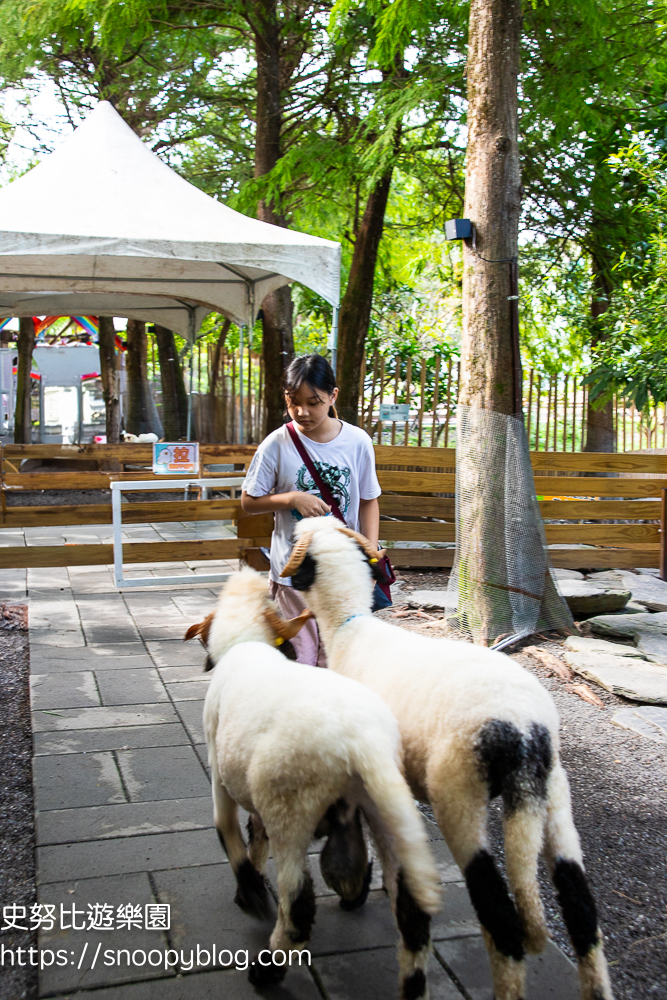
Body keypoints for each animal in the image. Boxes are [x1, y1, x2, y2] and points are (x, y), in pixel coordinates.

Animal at [185, 568, 440, 996]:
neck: (246, 644)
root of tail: (364, 740)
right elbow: (255, 836)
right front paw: (251, 884)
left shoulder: (219, 772)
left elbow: (228, 831)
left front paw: (251, 895)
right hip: (384, 809)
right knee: (410, 912)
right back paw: (410, 984)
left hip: (289, 806)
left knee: (299, 902)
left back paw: (267, 972)